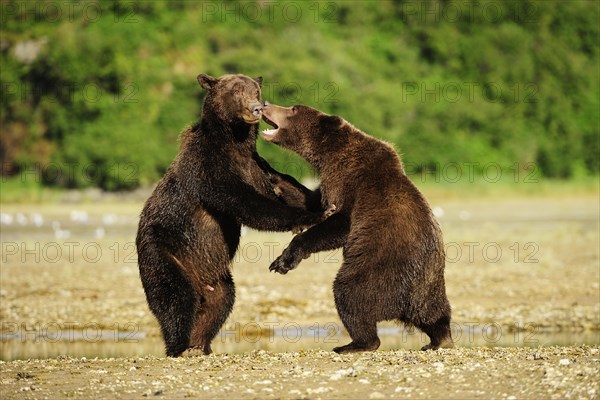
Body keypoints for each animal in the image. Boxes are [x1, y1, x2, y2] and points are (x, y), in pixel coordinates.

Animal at [137, 74, 330, 356]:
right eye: (237, 91)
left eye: (256, 90)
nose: (256, 108)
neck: (233, 142)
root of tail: (200, 282)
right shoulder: (209, 169)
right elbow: (247, 203)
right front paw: (312, 217)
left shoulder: (255, 166)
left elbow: (284, 188)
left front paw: (319, 207)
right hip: (164, 252)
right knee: (175, 297)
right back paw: (179, 345)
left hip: (216, 276)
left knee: (221, 301)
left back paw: (200, 344)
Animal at [260, 102, 452, 354]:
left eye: (293, 109)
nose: (265, 104)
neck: (330, 154)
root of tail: (405, 305)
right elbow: (312, 202)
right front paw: (270, 172)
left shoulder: (351, 181)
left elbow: (339, 223)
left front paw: (283, 261)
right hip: (430, 288)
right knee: (435, 314)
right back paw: (438, 339)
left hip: (379, 270)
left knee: (350, 295)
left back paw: (354, 343)